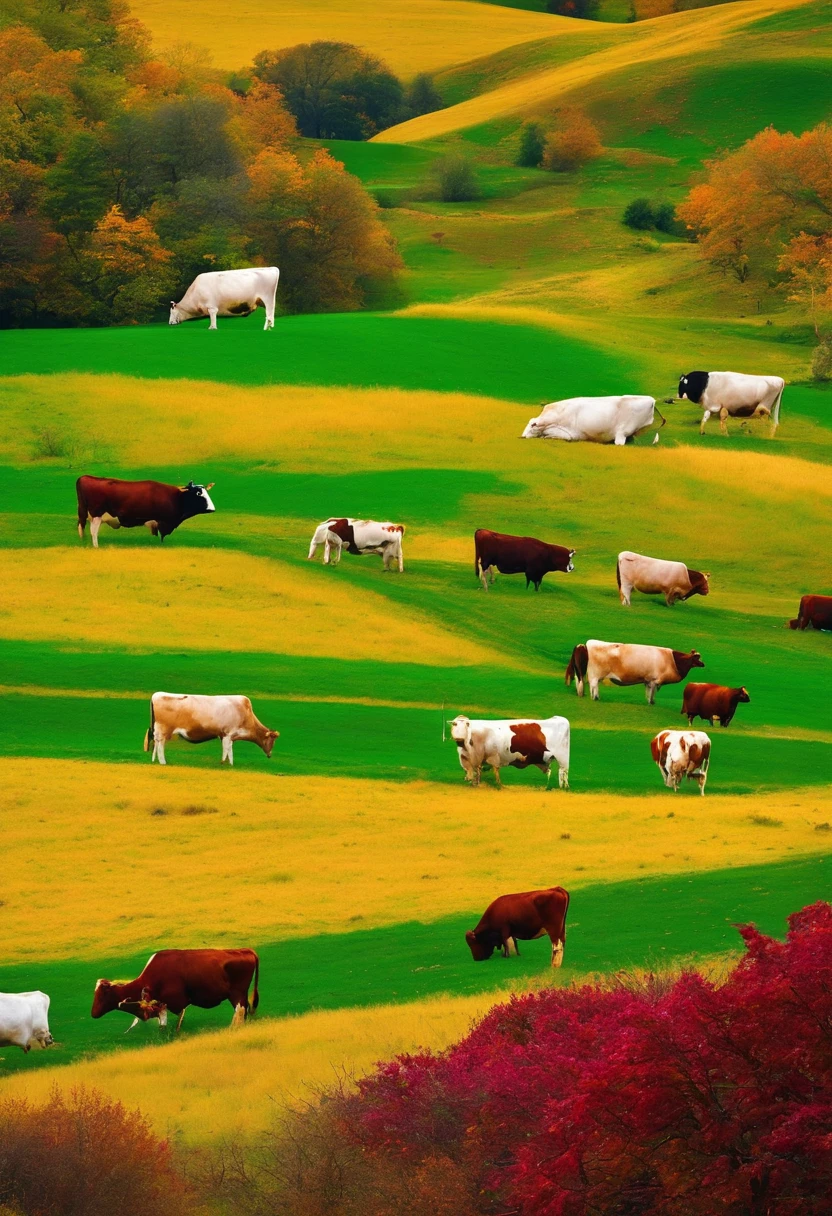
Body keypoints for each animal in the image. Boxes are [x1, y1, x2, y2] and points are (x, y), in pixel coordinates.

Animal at [76, 474, 216, 552]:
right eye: (198, 493)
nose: (212, 509)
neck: (176, 498)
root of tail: (85, 477)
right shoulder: (162, 522)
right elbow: (161, 537)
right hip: (96, 514)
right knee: (93, 531)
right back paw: (96, 546)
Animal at [90, 943, 260, 1031]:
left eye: (102, 995)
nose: (93, 1013)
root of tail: (244, 950)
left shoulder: (174, 1002)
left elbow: (171, 1025)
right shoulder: (162, 1004)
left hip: (236, 993)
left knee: (239, 1012)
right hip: (241, 994)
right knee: (243, 1011)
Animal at [145, 690, 279, 763]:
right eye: (271, 740)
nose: (270, 755)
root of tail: (157, 694)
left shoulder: (226, 736)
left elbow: (229, 751)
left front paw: (229, 764)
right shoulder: (228, 733)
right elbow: (227, 750)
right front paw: (224, 763)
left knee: (156, 744)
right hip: (163, 730)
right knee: (160, 746)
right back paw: (163, 762)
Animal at [520, 393, 661, 447]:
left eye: (532, 425)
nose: (522, 436)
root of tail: (651, 400)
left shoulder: (570, 434)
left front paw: (547, 436)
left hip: (622, 432)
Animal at [564, 642, 700, 710]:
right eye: (697, 658)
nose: (703, 664)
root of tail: (586, 644)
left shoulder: (649, 680)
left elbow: (649, 692)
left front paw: (651, 702)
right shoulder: (654, 680)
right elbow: (651, 693)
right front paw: (651, 703)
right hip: (594, 675)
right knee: (594, 686)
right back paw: (596, 698)